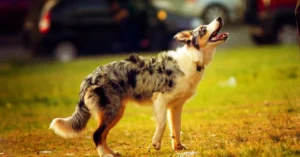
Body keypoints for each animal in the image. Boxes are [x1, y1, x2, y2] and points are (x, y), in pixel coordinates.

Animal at [49, 16, 227, 156]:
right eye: (203, 29)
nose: (219, 18)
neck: (192, 58)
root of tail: (90, 77)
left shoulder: (176, 106)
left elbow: (176, 129)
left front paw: (178, 147)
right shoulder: (160, 100)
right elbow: (162, 124)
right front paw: (156, 143)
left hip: (116, 111)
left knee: (103, 135)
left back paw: (112, 153)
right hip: (111, 110)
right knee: (96, 134)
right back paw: (105, 155)